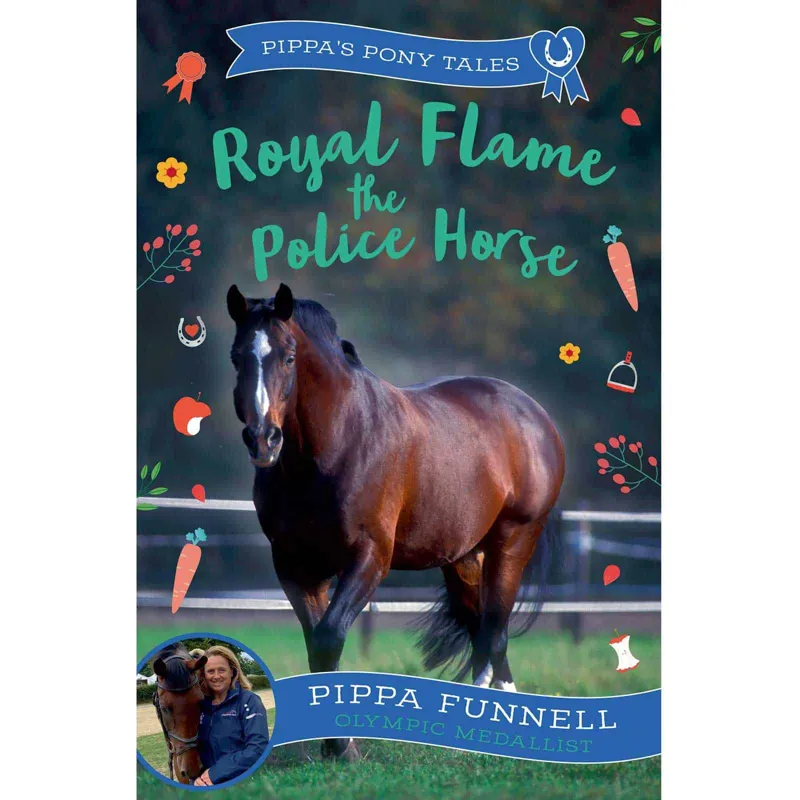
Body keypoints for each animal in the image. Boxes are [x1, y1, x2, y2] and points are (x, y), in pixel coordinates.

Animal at [227, 283, 565, 760]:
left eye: (289, 356)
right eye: (237, 356)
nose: (263, 439)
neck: (335, 444)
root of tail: (534, 416)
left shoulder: (370, 557)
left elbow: (330, 637)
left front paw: (343, 748)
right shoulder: (295, 566)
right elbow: (316, 644)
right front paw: (335, 744)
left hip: (513, 541)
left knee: (495, 632)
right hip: (463, 557)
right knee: (481, 631)